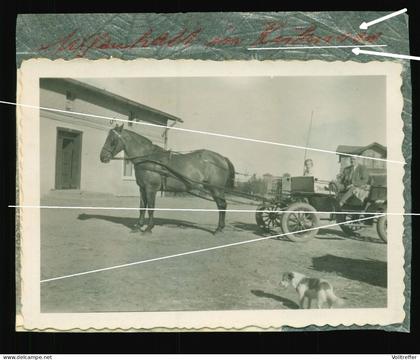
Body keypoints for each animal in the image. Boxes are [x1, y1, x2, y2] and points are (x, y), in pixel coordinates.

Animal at [99, 125, 236, 235]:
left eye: (112, 140)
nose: (102, 157)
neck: (148, 158)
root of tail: (222, 158)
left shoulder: (151, 189)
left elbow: (151, 207)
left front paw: (148, 228)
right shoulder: (142, 188)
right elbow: (142, 207)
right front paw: (138, 226)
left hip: (216, 189)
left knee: (222, 205)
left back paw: (218, 229)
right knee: (221, 205)